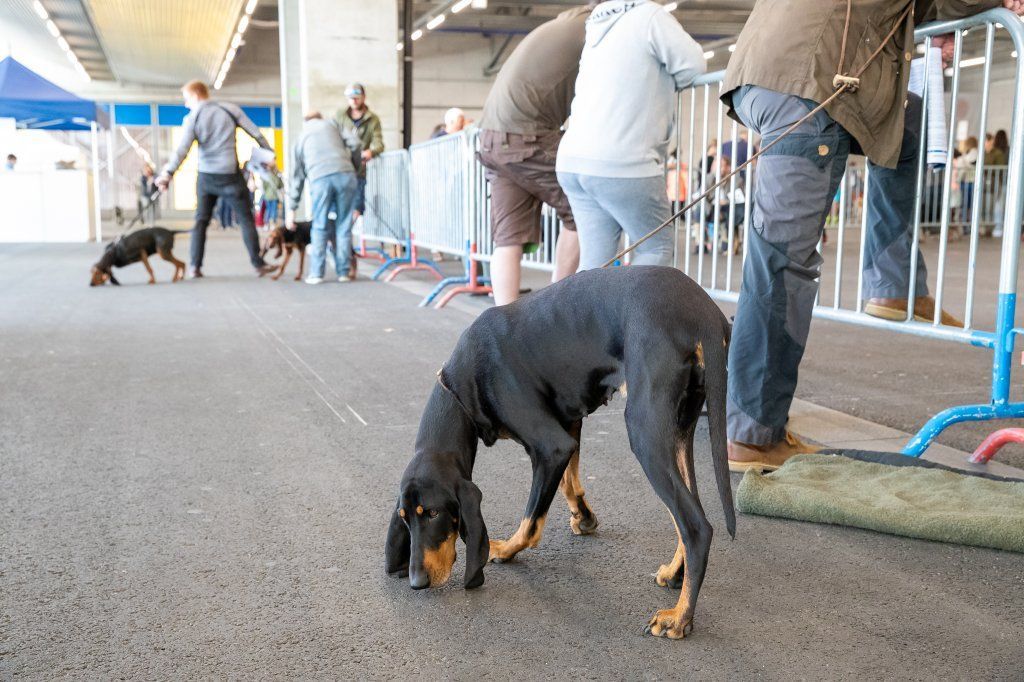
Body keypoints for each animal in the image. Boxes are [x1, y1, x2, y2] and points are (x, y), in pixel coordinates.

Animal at [385, 264, 737, 638]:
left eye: (433, 513)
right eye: (405, 518)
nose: (416, 581)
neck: (461, 387)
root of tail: (704, 311)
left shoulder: (551, 446)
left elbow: (530, 520)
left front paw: (506, 550)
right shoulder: (569, 425)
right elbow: (570, 482)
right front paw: (584, 517)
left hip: (645, 432)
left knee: (697, 527)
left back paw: (681, 617)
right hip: (678, 431)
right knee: (687, 516)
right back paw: (675, 575)